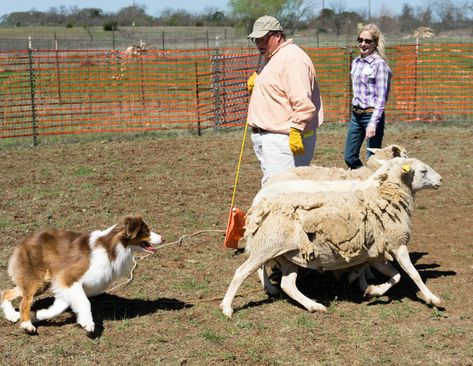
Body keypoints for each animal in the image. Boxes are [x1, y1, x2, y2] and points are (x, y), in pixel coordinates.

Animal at [221, 157, 442, 318]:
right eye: (423, 171)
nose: (440, 179)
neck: (383, 196)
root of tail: (260, 203)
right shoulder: (397, 243)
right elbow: (412, 274)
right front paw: (433, 299)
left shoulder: (376, 252)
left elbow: (394, 275)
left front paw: (372, 290)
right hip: (268, 245)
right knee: (242, 272)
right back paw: (228, 307)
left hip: (289, 254)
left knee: (287, 284)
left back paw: (313, 305)